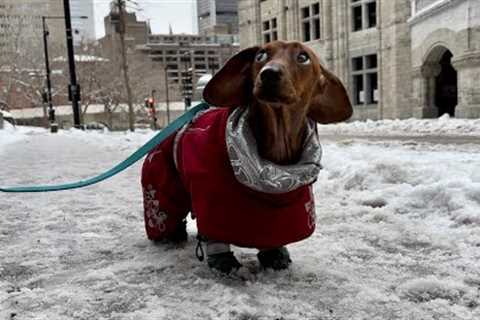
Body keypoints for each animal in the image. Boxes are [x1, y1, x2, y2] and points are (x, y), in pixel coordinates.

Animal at [141, 40, 350, 272]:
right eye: (261, 55)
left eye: (303, 57)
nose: (269, 74)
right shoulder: (210, 199)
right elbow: (214, 232)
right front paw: (222, 259)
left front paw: (274, 252)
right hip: (161, 185)